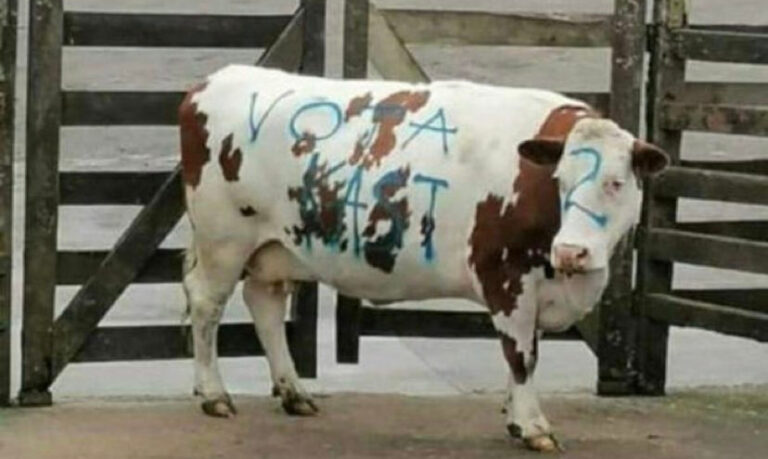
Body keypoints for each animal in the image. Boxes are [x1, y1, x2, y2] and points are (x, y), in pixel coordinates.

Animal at [179, 65, 668, 452]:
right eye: (561, 179)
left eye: (616, 182)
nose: (571, 250)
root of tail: (215, 79)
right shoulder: (505, 273)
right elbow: (520, 355)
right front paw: (533, 427)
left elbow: (528, 351)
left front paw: (514, 416)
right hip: (223, 239)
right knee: (206, 303)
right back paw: (214, 394)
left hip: (276, 247)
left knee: (264, 304)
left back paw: (294, 392)